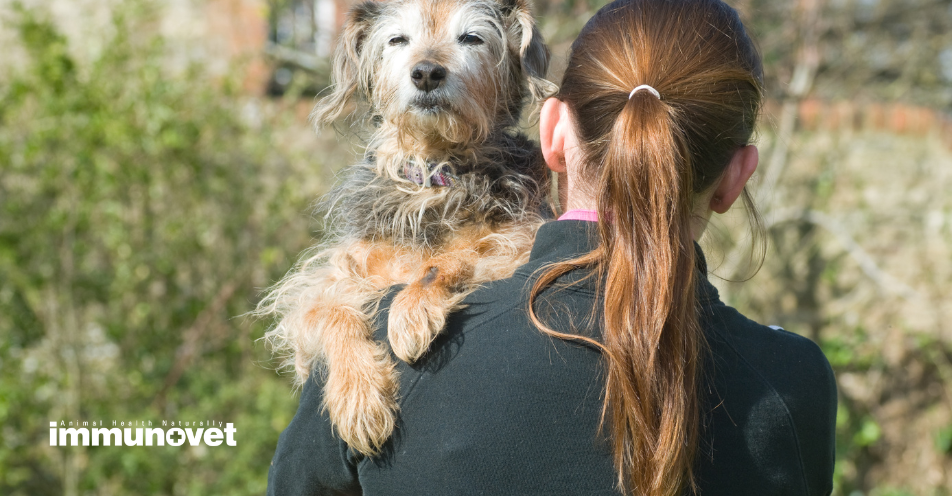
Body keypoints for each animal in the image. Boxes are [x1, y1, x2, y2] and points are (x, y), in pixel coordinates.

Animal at [260, 0, 556, 458]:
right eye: (398, 39)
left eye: (471, 38)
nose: (427, 72)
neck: (432, 174)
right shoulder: (317, 286)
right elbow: (331, 312)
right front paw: (358, 397)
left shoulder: (520, 240)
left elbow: (453, 259)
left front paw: (411, 312)